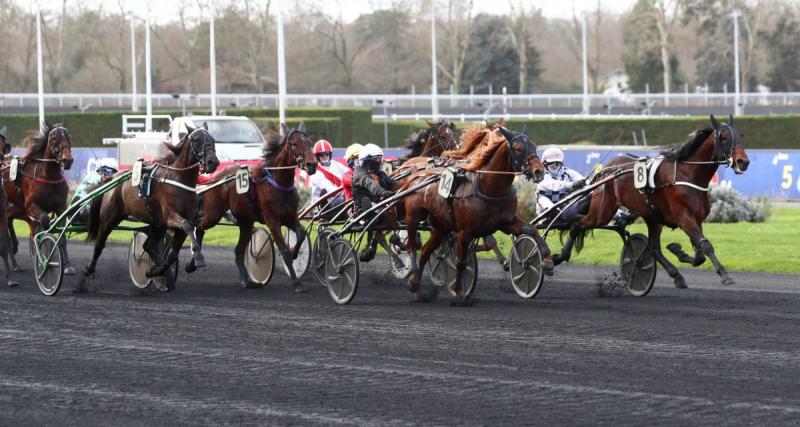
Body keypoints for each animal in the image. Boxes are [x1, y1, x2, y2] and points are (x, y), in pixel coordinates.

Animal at [2, 120, 74, 274]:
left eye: (68, 136)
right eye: (54, 138)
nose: (68, 160)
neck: (48, 176)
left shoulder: (61, 207)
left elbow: (62, 236)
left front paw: (67, 265)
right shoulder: (31, 206)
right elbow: (44, 222)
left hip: (18, 206)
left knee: (9, 217)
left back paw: (15, 253)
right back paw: (14, 259)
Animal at [81, 122, 219, 292]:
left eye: (213, 139)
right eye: (196, 140)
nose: (213, 162)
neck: (179, 179)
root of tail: (112, 177)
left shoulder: (183, 220)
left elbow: (173, 253)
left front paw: (157, 271)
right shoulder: (170, 216)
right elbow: (186, 226)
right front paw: (199, 258)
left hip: (157, 223)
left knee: (148, 245)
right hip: (109, 218)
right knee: (100, 244)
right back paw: (88, 269)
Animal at [186, 122, 318, 292]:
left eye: (309, 142)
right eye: (294, 144)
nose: (311, 164)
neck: (279, 183)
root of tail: (214, 178)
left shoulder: (290, 217)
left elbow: (301, 234)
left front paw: (296, 254)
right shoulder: (272, 221)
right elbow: (284, 250)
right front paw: (296, 283)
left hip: (245, 222)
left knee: (238, 251)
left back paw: (246, 281)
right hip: (214, 213)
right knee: (200, 227)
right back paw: (192, 263)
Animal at [400, 125, 552, 306]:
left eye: (534, 145)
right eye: (518, 148)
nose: (539, 171)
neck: (489, 187)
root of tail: (417, 175)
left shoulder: (507, 222)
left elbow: (532, 230)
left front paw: (547, 261)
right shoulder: (465, 232)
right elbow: (460, 262)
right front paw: (459, 294)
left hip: (440, 227)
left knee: (425, 251)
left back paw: (417, 289)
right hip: (413, 218)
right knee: (411, 246)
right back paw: (412, 279)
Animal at [552, 114, 752, 288]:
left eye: (740, 135)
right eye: (724, 137)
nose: (743, 162)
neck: (687, 174)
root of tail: (605, 170)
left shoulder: (697, 219)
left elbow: (699, 254)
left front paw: (678, 251)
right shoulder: (684, 218)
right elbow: (706, 246)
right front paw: (725, 275)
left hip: (652, 217)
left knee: (653, 248)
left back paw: (676, 276)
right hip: (603, 211)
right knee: (577, 223)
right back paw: (559, 257)